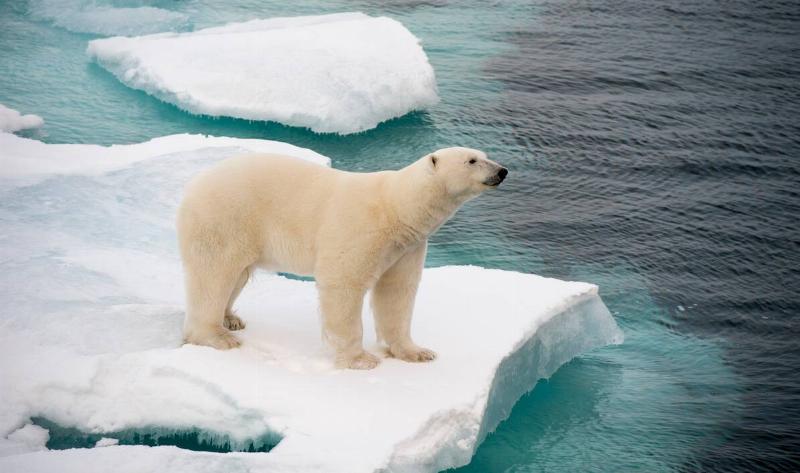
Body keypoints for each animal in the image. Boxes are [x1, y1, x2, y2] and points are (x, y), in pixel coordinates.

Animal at [177, 147, 508, 369]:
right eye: (472, 160)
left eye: (485, 154)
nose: (502, 171)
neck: (396, 207)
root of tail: (194, 184)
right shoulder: (361, 228)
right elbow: (343, 284)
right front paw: (360, 359)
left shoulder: (407, 246)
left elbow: (397, 292)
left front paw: (416, 352)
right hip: (225, 217)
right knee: (214, 273)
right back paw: (216, 336)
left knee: (237, 275)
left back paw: (231, 319)